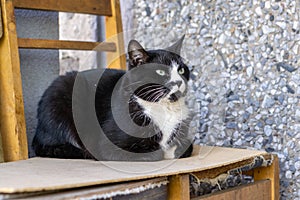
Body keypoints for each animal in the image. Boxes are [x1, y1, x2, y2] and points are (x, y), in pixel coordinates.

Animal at [31, 36, 193, 161]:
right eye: (160, 72)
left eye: (181, 70)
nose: (179, 82)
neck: (164, 107)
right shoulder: (107, 146)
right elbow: (154, 153)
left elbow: (187, 146)